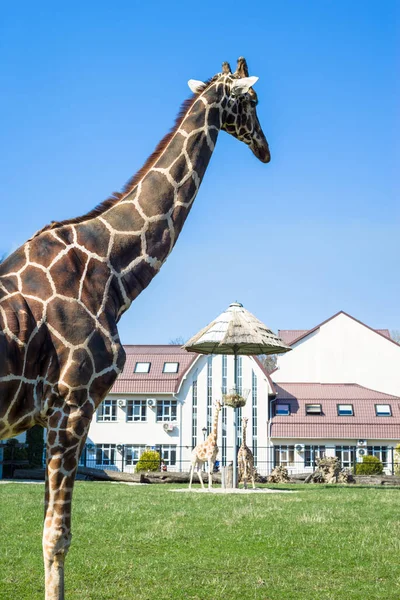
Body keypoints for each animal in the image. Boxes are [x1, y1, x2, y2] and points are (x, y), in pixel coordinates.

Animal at [0, 57, 270, 600]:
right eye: (253, 101)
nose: (266, 149)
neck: (112, 269)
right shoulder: (74, 404)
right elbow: (57, 537)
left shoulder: (54, 416)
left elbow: (48, 531)